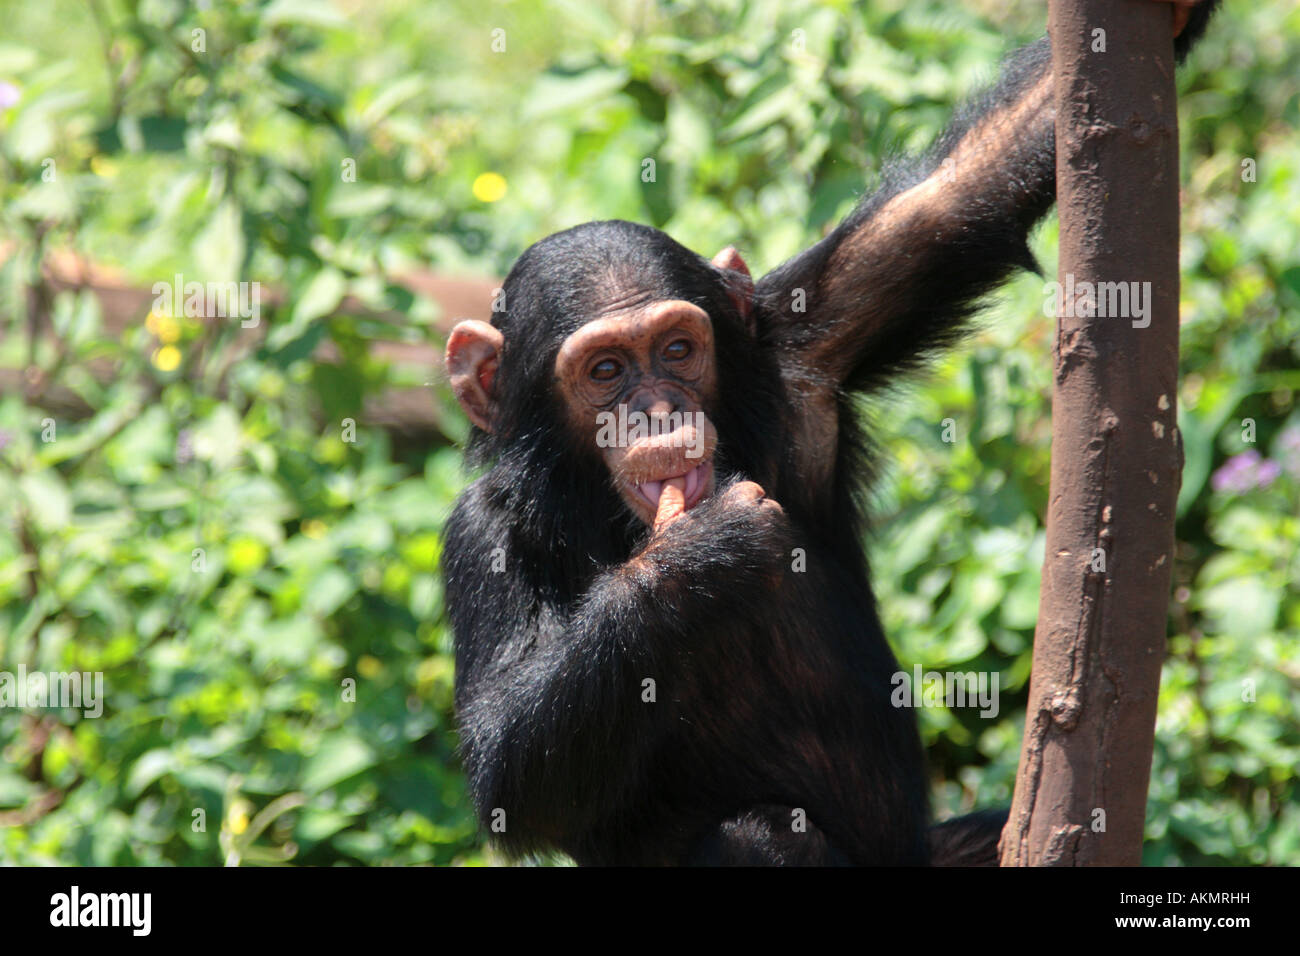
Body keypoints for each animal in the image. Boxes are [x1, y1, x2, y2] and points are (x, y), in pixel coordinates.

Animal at [439, 1, 1216, 868]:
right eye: (605, 370)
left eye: (676, 349)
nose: (657, 409)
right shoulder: (479, 532)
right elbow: (507, 756)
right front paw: (701, 552)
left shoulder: (805, 349)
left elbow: (951, 199)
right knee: (760, 837)